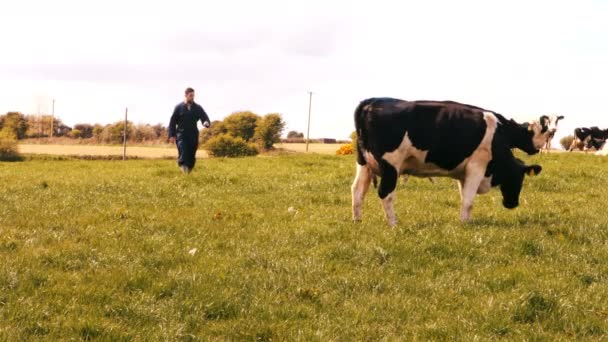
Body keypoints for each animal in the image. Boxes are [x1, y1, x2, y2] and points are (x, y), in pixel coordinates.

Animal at [350, 98, 544, 227]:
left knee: (357, 190)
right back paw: (393, 224)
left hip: (364, 163)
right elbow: (469, 199)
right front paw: (464, 225)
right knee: (386, 193)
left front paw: (465, 220)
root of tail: (371, 102)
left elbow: (464, 196)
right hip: (391, 165)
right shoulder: (477, 166)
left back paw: (358, 221)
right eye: (519, 178)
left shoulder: (464, 173)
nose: (513, 204)